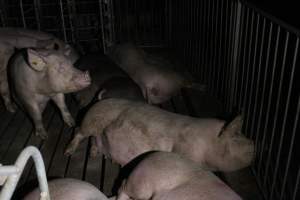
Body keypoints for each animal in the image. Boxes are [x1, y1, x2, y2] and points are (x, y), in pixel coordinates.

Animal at [65, 98, 253, 172]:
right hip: (91, 120)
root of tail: (97, 102)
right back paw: (68, 152)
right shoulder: (185, 149)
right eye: (237, 137)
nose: (255, 146)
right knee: (79, 132)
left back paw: (94, 154)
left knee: (93, 140)